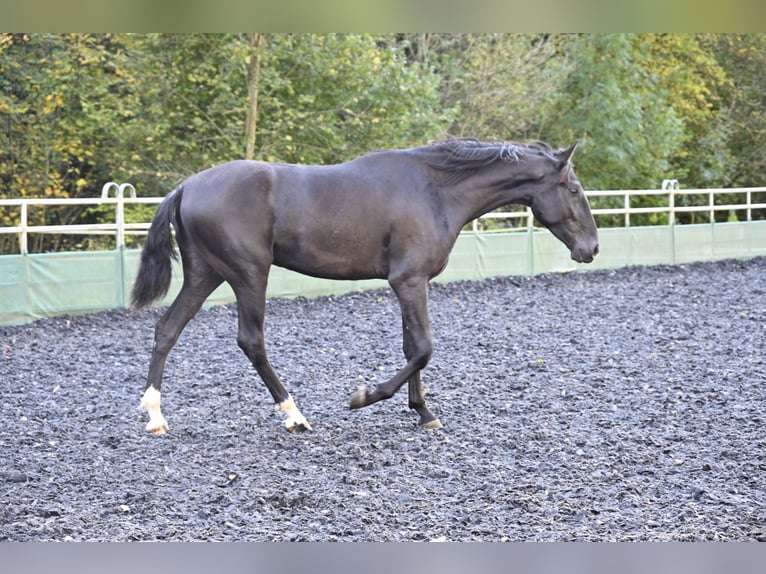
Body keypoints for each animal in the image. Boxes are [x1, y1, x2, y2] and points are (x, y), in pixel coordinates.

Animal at [130, 138, 600, 436]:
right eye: (575, 189)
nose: (592, 248)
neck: (435, 191)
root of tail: (186, 186)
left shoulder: (410, 284)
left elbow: (412, 349)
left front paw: (423, 412)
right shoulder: (409, 281)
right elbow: (423, 348)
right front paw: (365, 396)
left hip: (205, 274)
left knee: (166, 330)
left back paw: (155, 416)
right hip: (248, 274)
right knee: (251, 341)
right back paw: (294, 416)